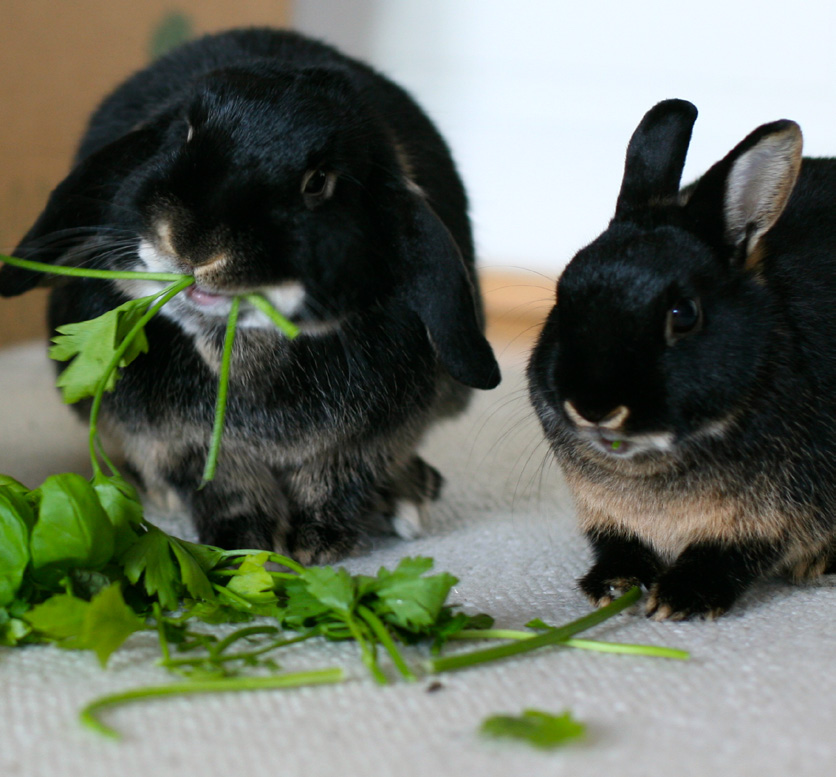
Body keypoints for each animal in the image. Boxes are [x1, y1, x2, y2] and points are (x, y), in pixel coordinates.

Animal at [0, 27, 500, 560]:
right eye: (184, 133)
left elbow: (336, 480)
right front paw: (245, 545)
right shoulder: (179, 442)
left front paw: (317, 547)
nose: (195, 243)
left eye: (319, 183)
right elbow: (222, 486)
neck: (236, 352)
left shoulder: (368, 440)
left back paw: (410, 494)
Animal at [532, 98, 832, 620]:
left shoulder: (771, 518)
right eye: (562, 295)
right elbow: (619, 546)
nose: (592, 406)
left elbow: (731, 556)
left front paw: (680, 599)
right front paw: (613, 584)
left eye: (684, 314)